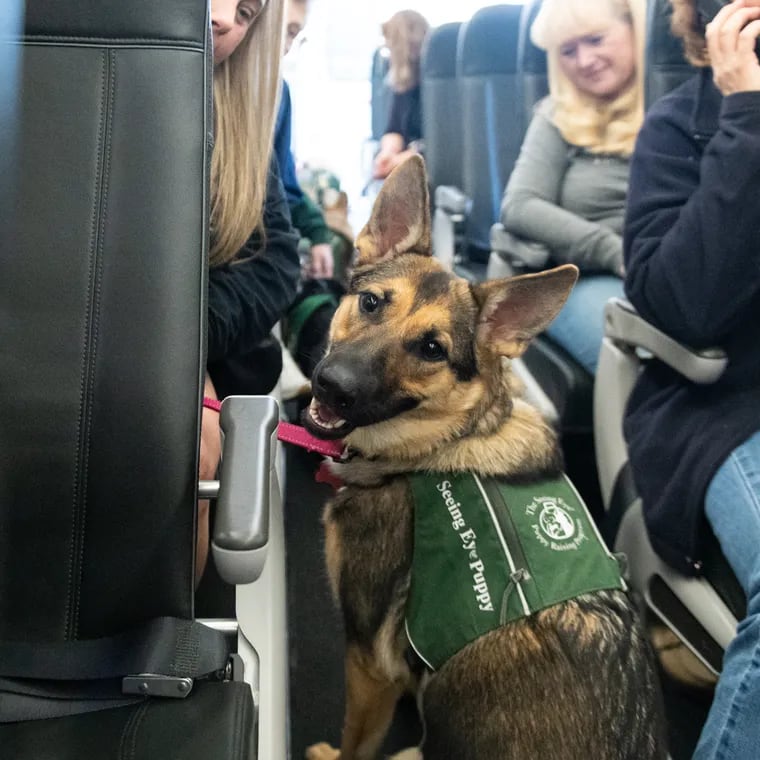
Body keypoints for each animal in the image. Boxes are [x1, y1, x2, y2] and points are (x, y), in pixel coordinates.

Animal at [302, 156, 664, 760]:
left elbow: (355, 743)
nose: (333, 387)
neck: (440, 445)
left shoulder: (367, 664)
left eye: (432, 349)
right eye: (371, 303)